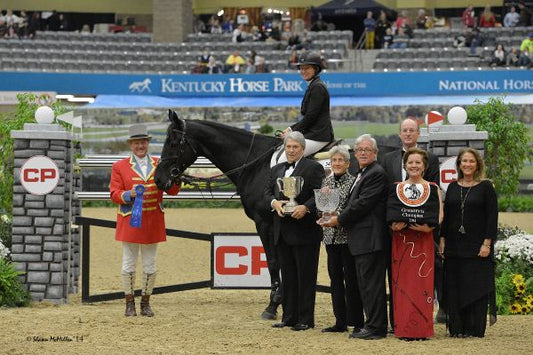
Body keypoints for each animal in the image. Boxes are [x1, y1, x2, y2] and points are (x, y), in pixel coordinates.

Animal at [155, 110, 282, 318]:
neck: (257, 164)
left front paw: (272, 306)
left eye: (172, 142)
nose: (158, 179)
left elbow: (273, 262)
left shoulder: (265, 223)